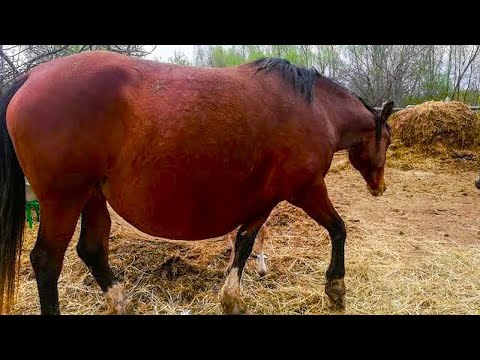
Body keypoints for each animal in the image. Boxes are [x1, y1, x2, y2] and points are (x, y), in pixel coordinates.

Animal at [0, 51, 394, 316]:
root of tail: (32, 76)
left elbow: (244, 242)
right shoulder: (306, 189)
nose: (380, 187)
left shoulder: (263, 200)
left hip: (92, 196)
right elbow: (338, 229)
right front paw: (336, 289)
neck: (317, 110)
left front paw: (232, 298)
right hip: (64, 200)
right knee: (47, 261)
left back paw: (120, 302)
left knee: (92, 250)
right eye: (388, 140)